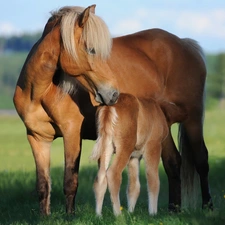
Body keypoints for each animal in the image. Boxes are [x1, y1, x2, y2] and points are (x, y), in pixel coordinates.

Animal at [13, 4, 213, 214]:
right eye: (91, 50)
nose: (113, 94)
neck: (40, 92)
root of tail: (186, 44)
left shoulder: (72, 134)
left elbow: (70, 181)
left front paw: (70, 216)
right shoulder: (37, 138)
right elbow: (43, 185)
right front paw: (46, 217)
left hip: (193, 119)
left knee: (201, 159)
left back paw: (207, 206)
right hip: (161, 127)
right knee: (173, 162)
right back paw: (173, 210)